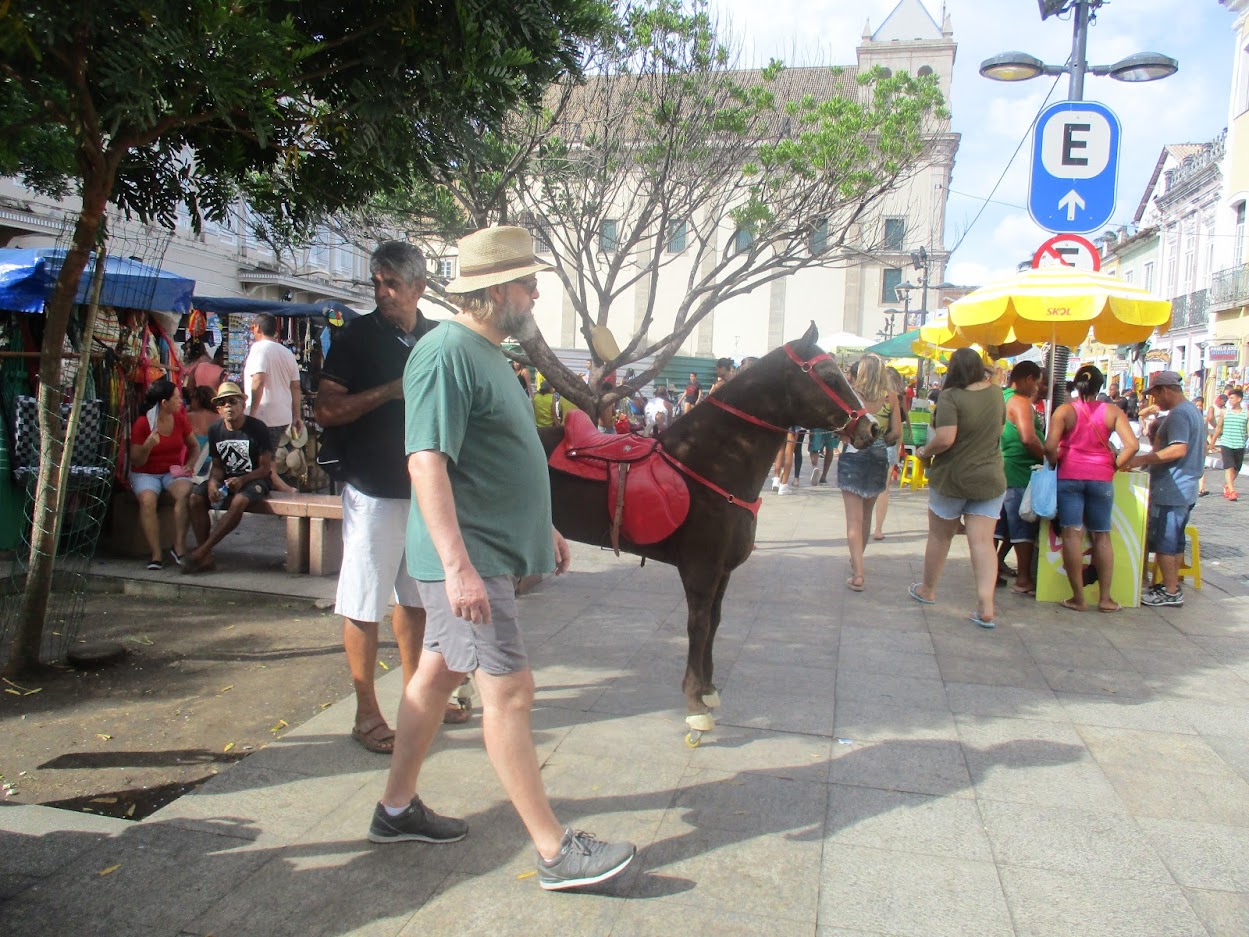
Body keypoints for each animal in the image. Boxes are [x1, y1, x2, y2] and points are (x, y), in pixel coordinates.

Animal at [539, 327, 879, 744]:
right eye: (830, 375)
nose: (871, 428)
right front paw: (695, 707)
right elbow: (698, 626)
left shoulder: (723, 571)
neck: (705, 461)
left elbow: (715, 623)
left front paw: (708, 689)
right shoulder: (700, 569)